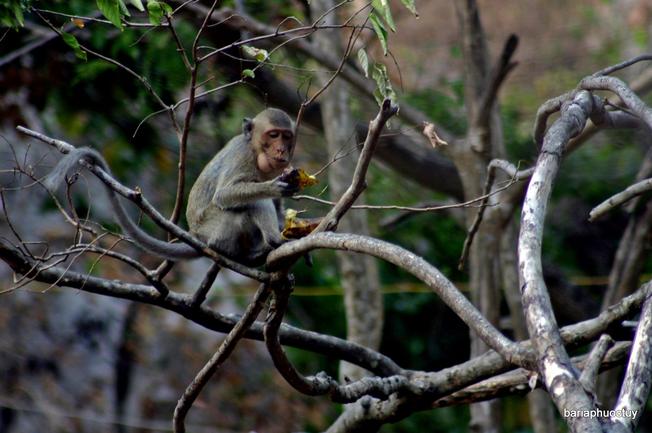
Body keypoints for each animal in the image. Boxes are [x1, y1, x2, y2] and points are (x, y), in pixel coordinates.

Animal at [47, 106, 300, 264]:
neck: (256, 151)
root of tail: (198, 237)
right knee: (251, 204)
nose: (281, 150)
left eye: (287, 137)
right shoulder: (243, 156)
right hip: (219, 230)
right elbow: (225, 194)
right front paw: (274, 188)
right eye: (273, 135)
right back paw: (273, 242)